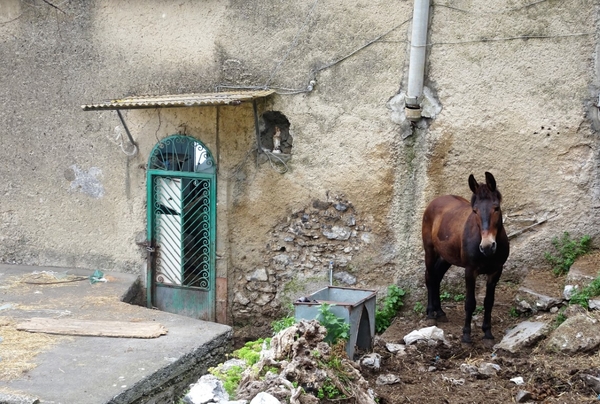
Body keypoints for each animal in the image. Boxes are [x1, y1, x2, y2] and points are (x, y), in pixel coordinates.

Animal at [422, 172, 506, 342]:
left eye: (496, 208)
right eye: (475, 211)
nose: (487, 246)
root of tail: (436, 200)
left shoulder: (495, 272)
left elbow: (489, 302)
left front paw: (487, 333)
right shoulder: (470, 271)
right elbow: (470, 303)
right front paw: (466, 335)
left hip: (446, 257)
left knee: (436, 277)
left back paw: (440, 312)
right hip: (430, 251)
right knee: (429, 277)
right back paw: (431, 314)